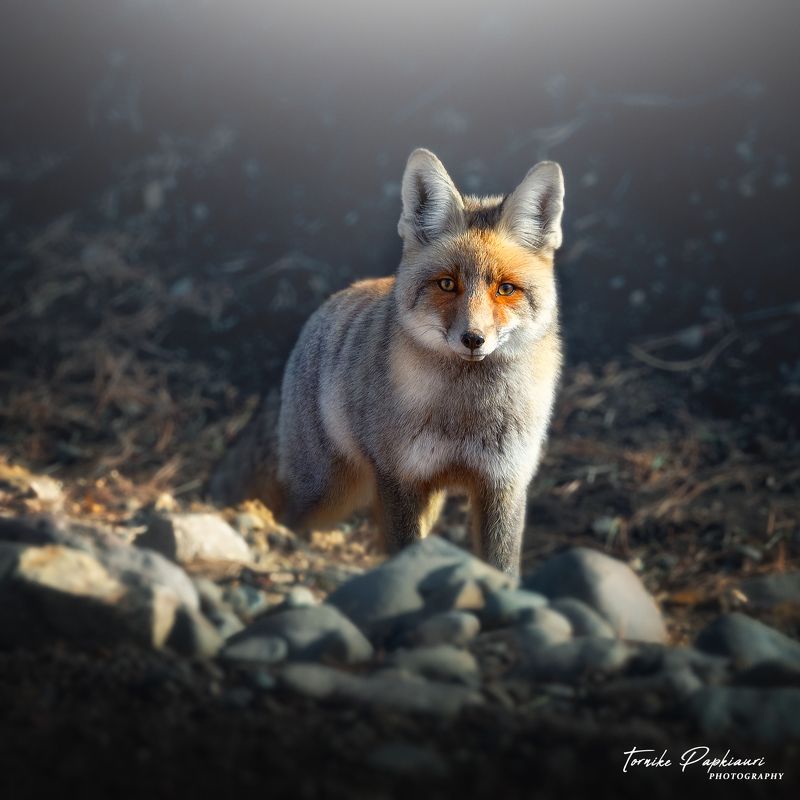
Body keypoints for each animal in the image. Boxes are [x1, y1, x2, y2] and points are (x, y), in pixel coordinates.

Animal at [211, 148, 565, 574]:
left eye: (506, 289)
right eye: (448, 284)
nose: (473, 339)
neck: (465, 416)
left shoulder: (504, 483)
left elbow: (503, 568)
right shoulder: (400, 478)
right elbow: (406, 550)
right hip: (326, 493)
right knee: (291, 518)